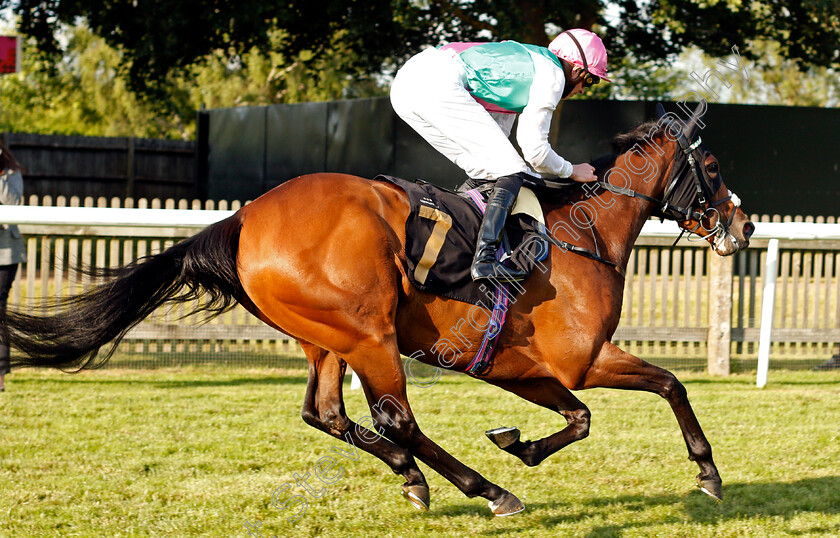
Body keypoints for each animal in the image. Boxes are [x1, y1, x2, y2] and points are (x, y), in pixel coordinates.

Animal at [6, 101, 756, 516]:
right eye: (714, 168)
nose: (744, 227)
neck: (581, 237)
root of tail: (243, 219)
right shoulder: (583, 359)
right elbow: (670, 384)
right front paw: (709, 473)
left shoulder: (520, 368)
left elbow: (578, 419)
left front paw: (519, 442)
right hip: (368, 334)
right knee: (396, 418)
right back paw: (485, 491)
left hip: (326, 337)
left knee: (326, 412)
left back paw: (418, 478)